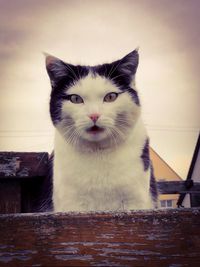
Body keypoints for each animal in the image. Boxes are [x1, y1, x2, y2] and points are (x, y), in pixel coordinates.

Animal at [45, 49, 158, 213]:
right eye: (75, 99)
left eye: (111, 97)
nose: (94, 115)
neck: (98, 152)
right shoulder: (71, 204)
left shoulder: (135, 203)